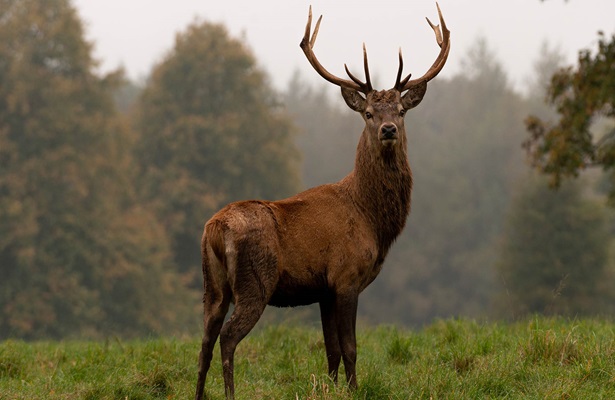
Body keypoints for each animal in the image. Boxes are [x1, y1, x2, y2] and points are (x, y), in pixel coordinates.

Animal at [195, 3, 450, 400]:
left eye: (401, 111)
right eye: (368, 113)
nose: (388, 130)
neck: (372, 220)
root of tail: (214, 228)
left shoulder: (323, 290)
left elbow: (330, 349)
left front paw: (331, 387)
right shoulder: (346, 277)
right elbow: (350, 347)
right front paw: (355, 389)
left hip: (213, 285)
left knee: (204, 341)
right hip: (255, 280)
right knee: (227, 337)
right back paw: (231, 393)